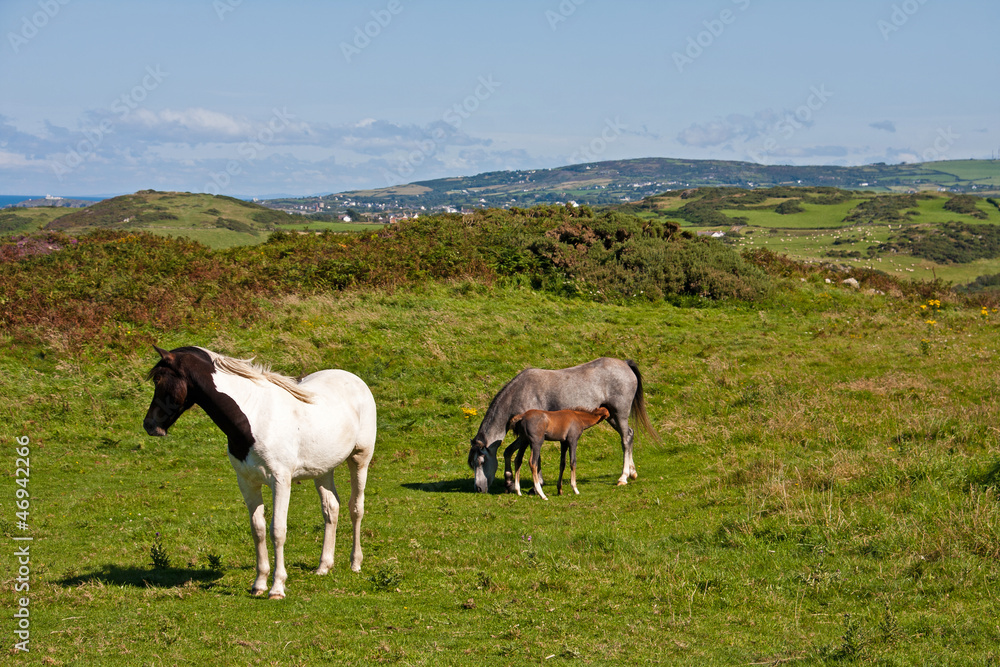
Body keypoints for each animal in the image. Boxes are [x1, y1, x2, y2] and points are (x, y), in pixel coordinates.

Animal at [142, 348, 376, 604]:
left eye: (158, 379)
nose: (149, 425)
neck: (254, 418)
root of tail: (354, 379)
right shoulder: (247, 482)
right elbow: (258, 529)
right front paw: (259, 584)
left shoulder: (280, 481)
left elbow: (277, 531)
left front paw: (277, 588)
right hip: (323, 469)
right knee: (331, 507)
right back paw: (324, 566)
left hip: (360, 459)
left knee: (356, 508)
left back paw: (355, 563)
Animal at [466, 358, 660, 494]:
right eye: (472, 464)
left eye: (481, 461)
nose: (478, 489)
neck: (521, 392)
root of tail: (625, 364)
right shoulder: (526, 436)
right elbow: (508, 452)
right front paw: (509, 482)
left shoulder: (532, 435)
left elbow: (533, 458)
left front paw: (536, 485)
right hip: (611, 416)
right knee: (629, 435)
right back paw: (632, 472)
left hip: (620, 413)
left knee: (626, 439)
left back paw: (623, 477)